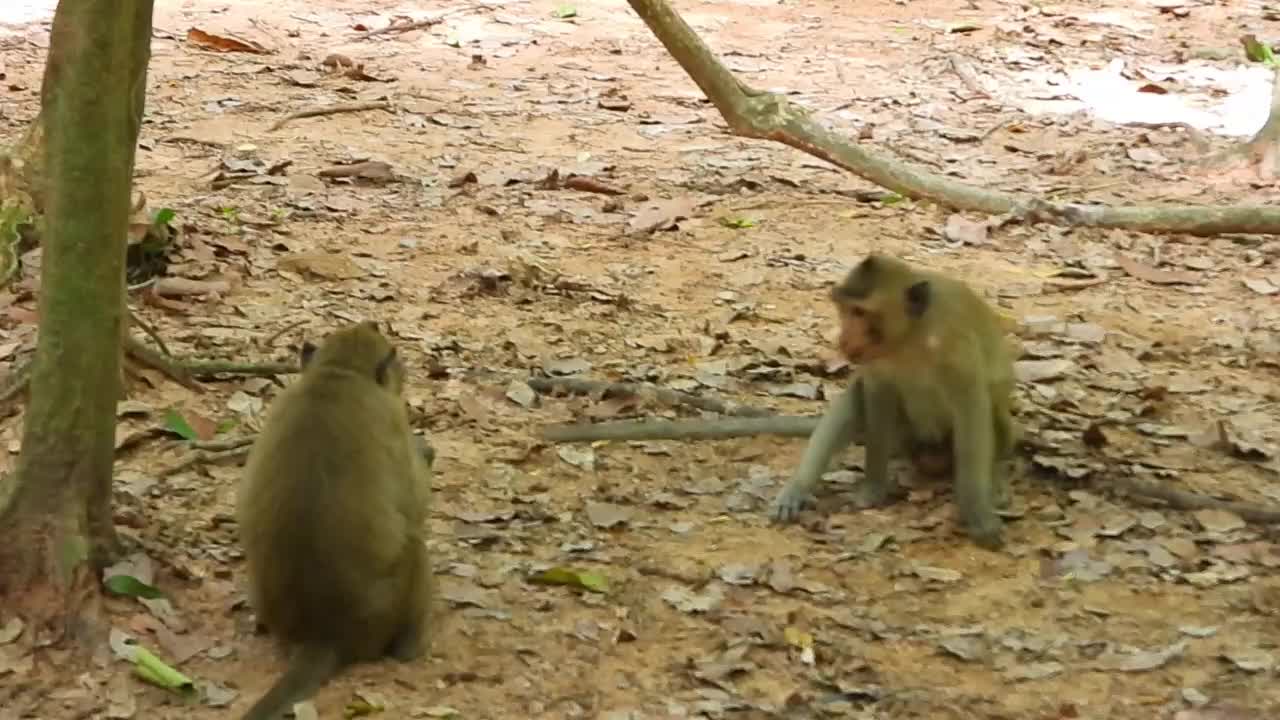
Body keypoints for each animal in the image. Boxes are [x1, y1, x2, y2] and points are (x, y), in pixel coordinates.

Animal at [236, 321, 434, 720]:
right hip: (386, 610)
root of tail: (323, 634)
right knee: (414, 542)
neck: (339, 373)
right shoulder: (392, 417)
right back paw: (410, 646)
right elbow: (416, 505)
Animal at [768, 253, 1018, 549]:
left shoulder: (956, 343)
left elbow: (971, 405)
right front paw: (873, 487)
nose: (843, 338)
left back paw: (995, 481)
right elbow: (876, 395)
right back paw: (798, 487)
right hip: (905, 438)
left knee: (991, 413)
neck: (910, 337)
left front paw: (976, 510)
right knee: (856, 397)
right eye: (845, 309)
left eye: (860, 312)